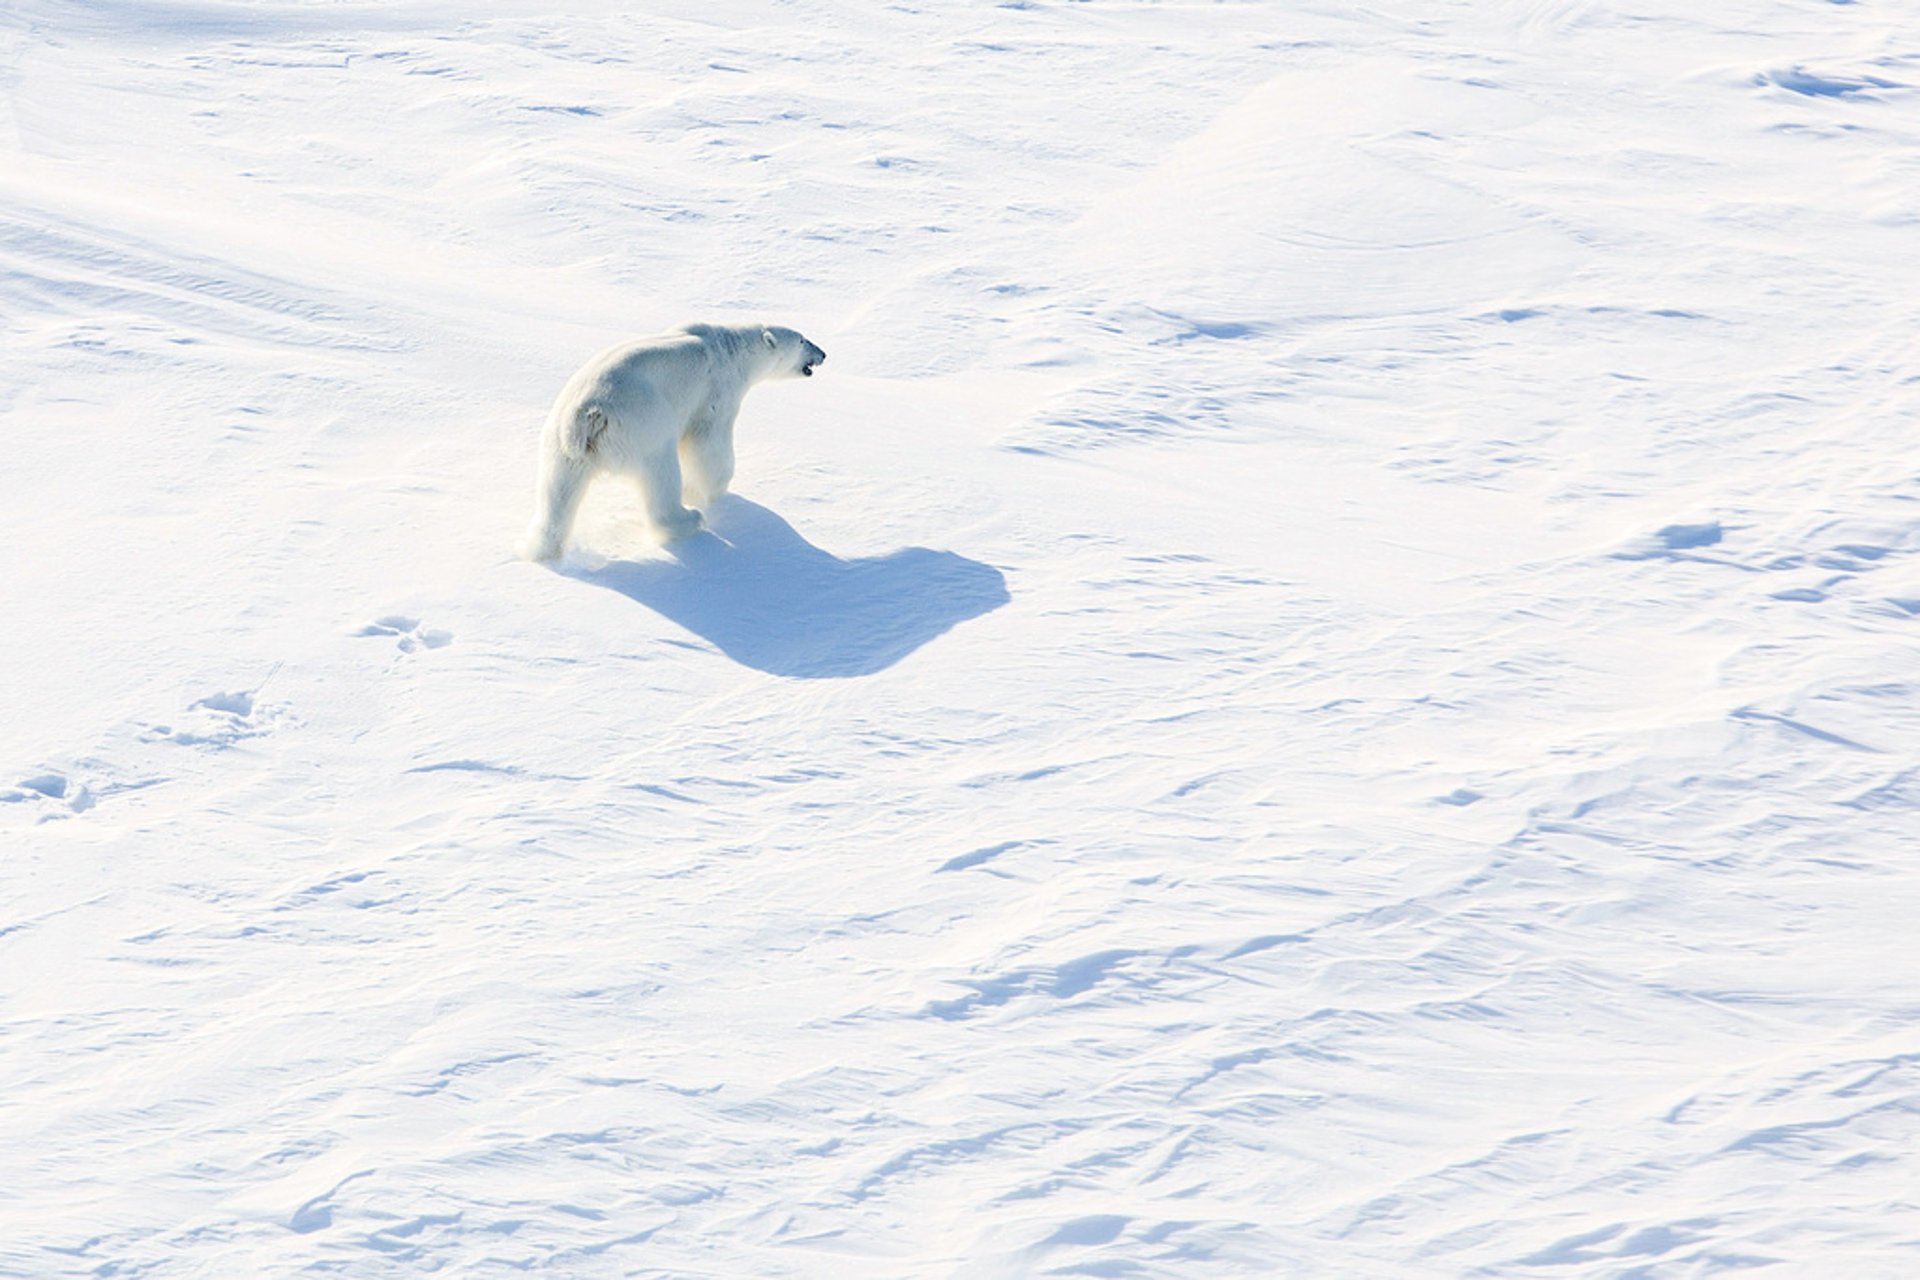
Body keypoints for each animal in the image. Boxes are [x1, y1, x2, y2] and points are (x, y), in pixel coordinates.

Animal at [526, 320, 825, 560]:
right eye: (802, 339)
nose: (823, 353)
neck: (730, 348)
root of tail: (586, 414)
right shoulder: (718, 391)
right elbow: (709, 444)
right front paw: (713, 490)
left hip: (562, 446)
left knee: (558, 491)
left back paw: (542, 549)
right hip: (643, 424)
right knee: (661, 472)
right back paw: (689, 518)